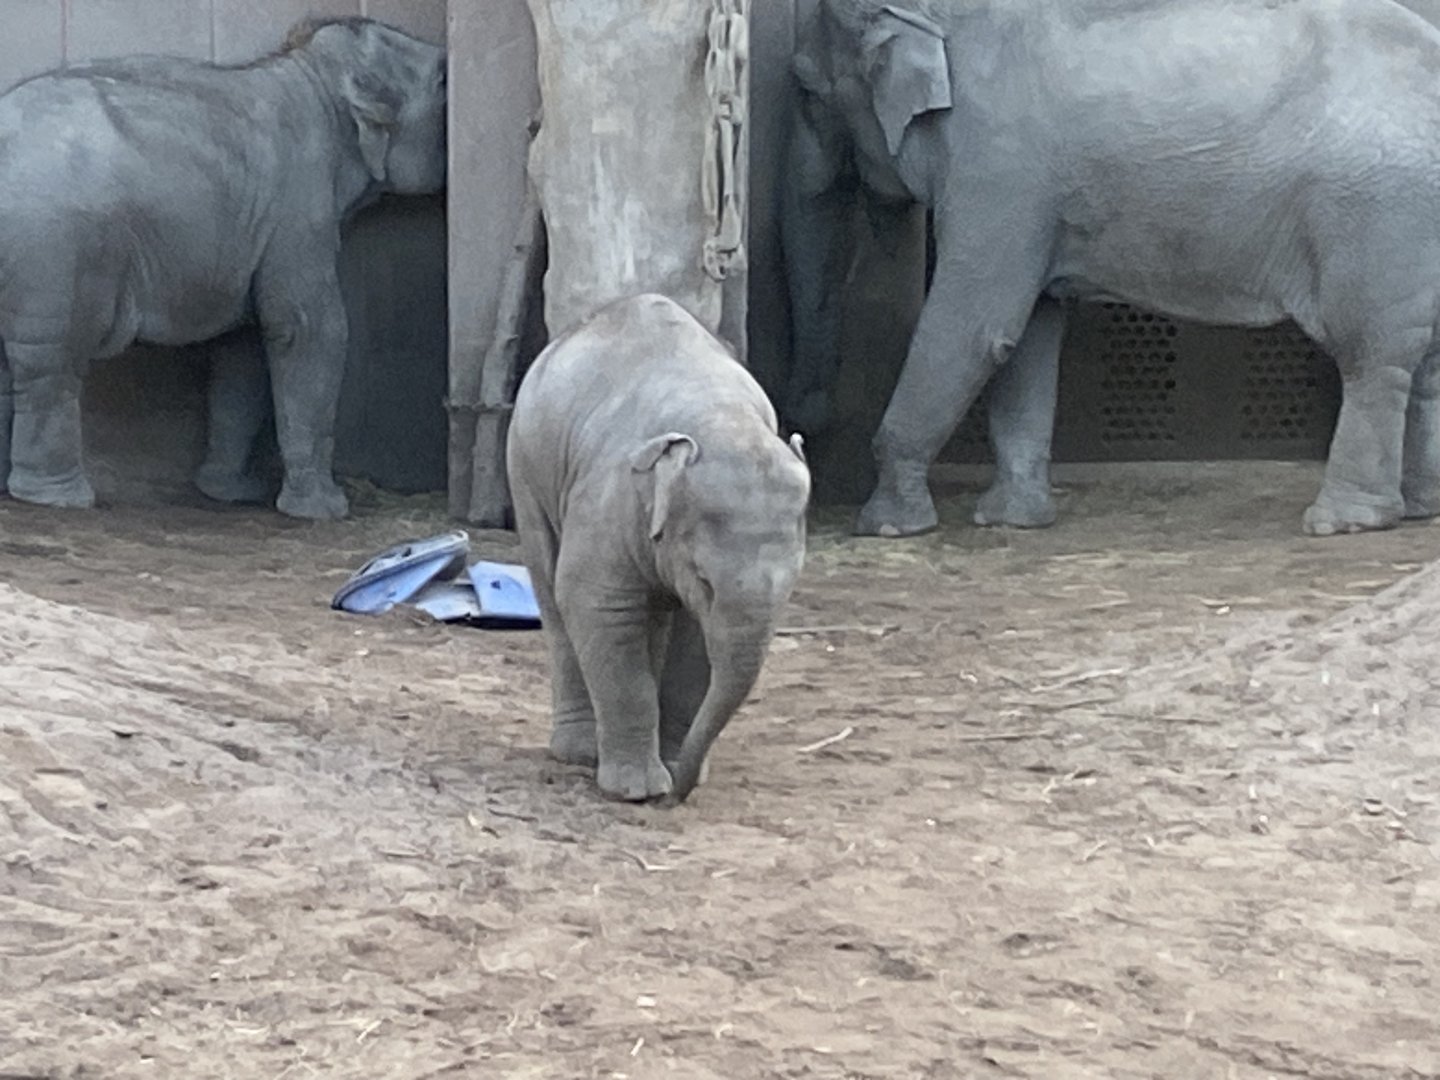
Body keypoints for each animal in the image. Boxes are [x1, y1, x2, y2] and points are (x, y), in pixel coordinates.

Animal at [0, 17, 446, 519]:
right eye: (444, 80)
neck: (312, 73)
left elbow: (244, 346)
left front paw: (231, 492)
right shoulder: (300, 204)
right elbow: (309, 329)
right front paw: (324, 510)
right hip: (55, 245)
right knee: (53, 359)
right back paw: (59, 497)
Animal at [506, 294, 811, 804]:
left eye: (791, 588)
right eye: (705, 581)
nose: (677, 797)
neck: (720, 417)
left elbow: (694, 645)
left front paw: (675, 767)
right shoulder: (610, 498)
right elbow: (596, 604)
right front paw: (640, 790)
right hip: (526, 472)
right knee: (553, 594)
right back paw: (580, 753)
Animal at [782, 0, 1440, 538]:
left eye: (807, 89)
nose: (804, 426)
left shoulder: (998, 165)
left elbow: (975, 326)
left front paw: (887, 526)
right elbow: (1030, 332)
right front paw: (1012, 520)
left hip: (1375, 210)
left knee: (1370, 355)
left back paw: (1342, 521)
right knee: (1424, 362)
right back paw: (1418, 509)